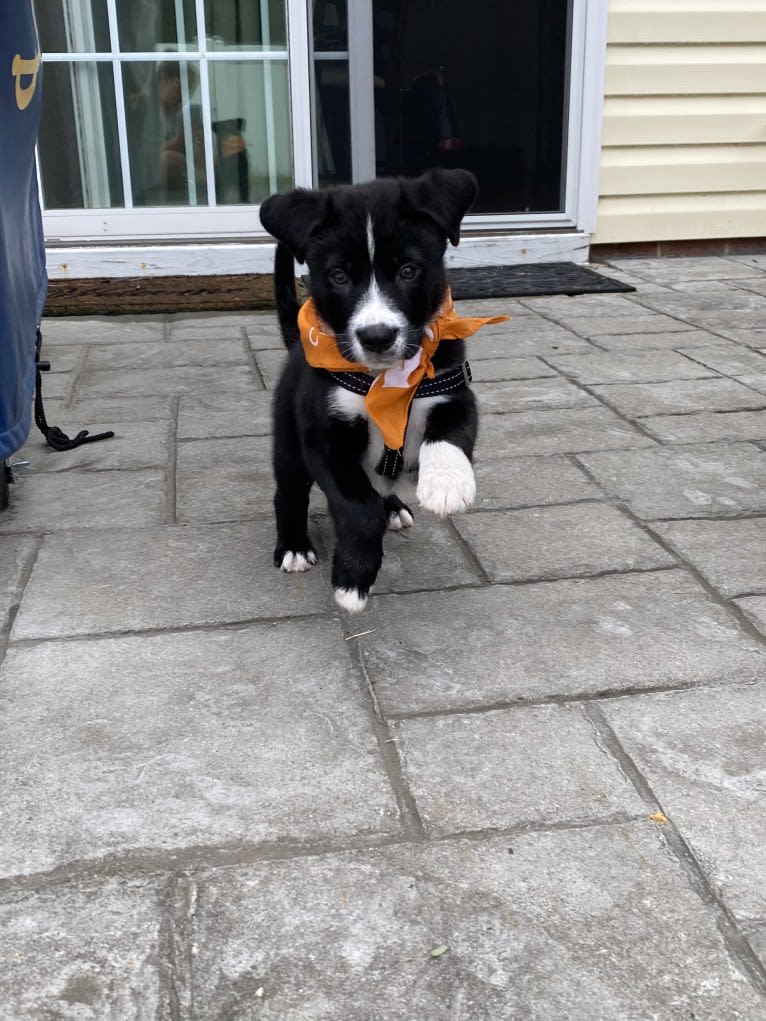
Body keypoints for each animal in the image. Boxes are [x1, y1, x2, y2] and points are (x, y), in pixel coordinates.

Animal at [261, 169, 506, 612]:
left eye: (408, 271)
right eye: (339, 276)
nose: (377, 336)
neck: (387, 382)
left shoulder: (453, 389)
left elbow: (450, 434)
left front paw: (446, 482)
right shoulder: (324, 438)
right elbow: (358, 508)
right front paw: (352, 581)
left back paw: (394, 507)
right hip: (288, 444)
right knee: (288, 493)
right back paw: (293, 546)